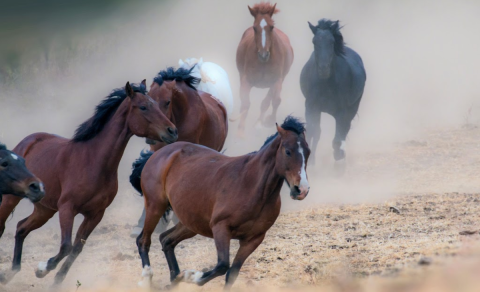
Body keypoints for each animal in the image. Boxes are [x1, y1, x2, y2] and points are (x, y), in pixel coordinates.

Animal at [0, 80, 177, 286]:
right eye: (143, 107)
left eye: (157, 104)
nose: (172, 131)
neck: (93, 161)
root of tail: (27, 142)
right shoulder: (67, 208)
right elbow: (66, 246)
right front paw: (42, 269)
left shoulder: (95, 214)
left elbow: (76, 248)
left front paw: (56, 280)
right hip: (11, 199)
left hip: (45, 210)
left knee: (21, 228)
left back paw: (10, 273)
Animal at [131, 115, 312, 288]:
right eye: (288, 151)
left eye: (308, 152)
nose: (301, 190)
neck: (251, 186)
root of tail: (159, 154)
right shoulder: (221, 228)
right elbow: (222, 265)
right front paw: (192, 276)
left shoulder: (253, 239)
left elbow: (231, 273)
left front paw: (185, 276)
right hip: (155, 206)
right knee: (143, 241)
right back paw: (147, 278)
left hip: (191, 223)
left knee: (166, 240)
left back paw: (175, 278)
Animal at [234, 2, 294, 137]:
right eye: (254, 27)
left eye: (271, 27)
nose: (263, 55)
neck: (263, 64)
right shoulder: (246, 80)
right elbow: (245, 103)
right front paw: (240, 131)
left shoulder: (277, 80)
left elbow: (275, 100)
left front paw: (268, 122)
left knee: (267, 101)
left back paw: (259, 123)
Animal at [300, 19, 368, 167]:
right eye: (314, 42)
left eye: (331, 42)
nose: (323, 69)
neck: (326, 84)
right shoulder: (311, 107)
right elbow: (314, 132)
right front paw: (311, 163)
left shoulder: (342, 111)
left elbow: (338, 136)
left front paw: (339, 157)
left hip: (353, 107)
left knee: (344, 129)